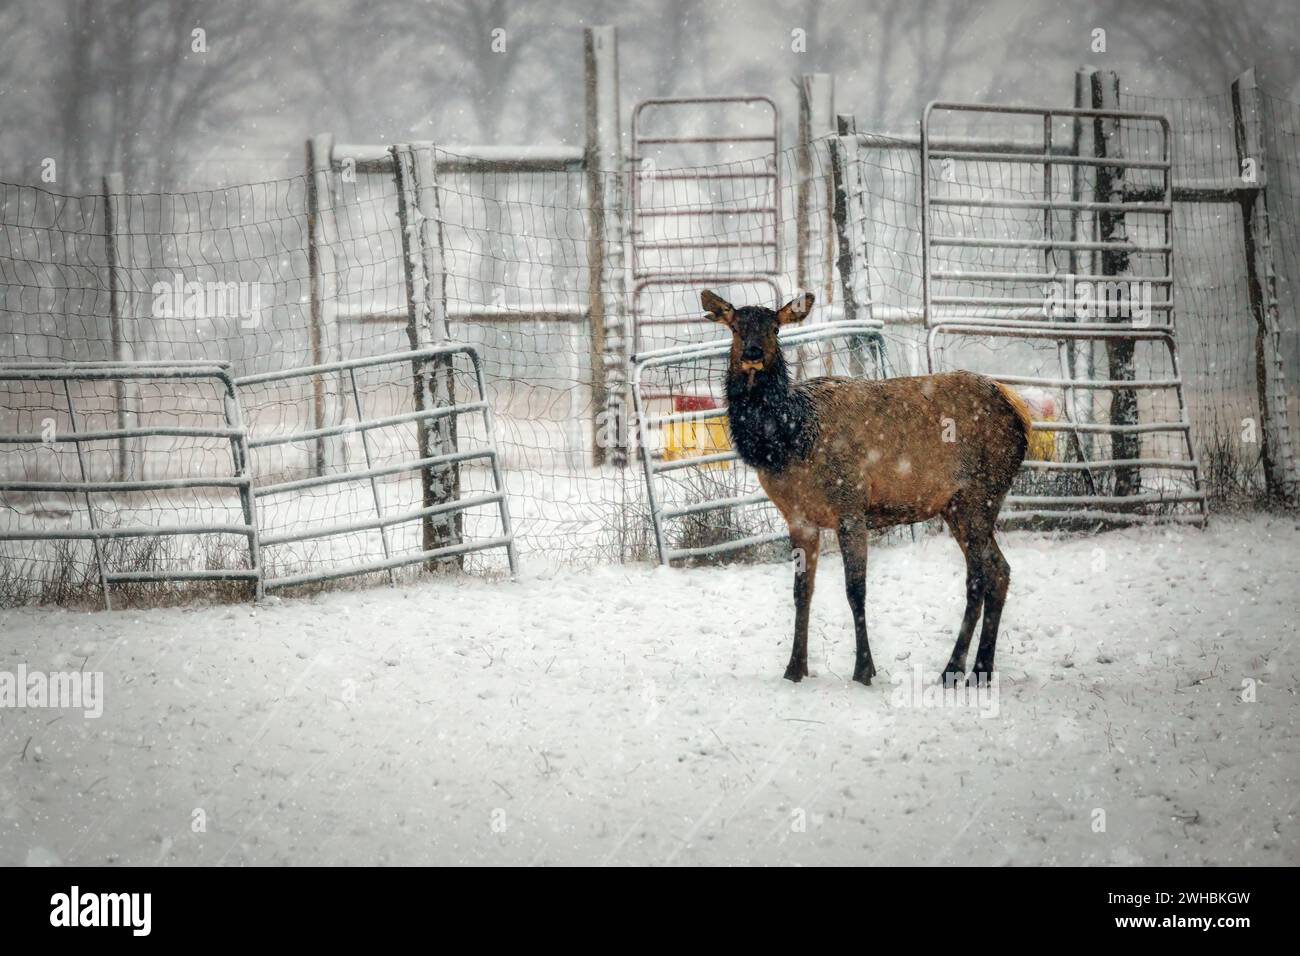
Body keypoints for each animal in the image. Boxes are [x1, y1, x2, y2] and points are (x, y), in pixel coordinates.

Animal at [707, 291, 1029, 686]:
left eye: (775, 328)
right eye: (735, 327)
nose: (753, 353)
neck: (789, 439)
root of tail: (1019, 412)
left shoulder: (850, 505)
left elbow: (855, 589)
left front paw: (864, 669)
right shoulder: (799, 518)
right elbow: (802, 592)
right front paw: (795, 668)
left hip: (980, 494)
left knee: (979, 577)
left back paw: (954, 668)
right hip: (956, 505)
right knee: (999, 571)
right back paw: (980, 669)